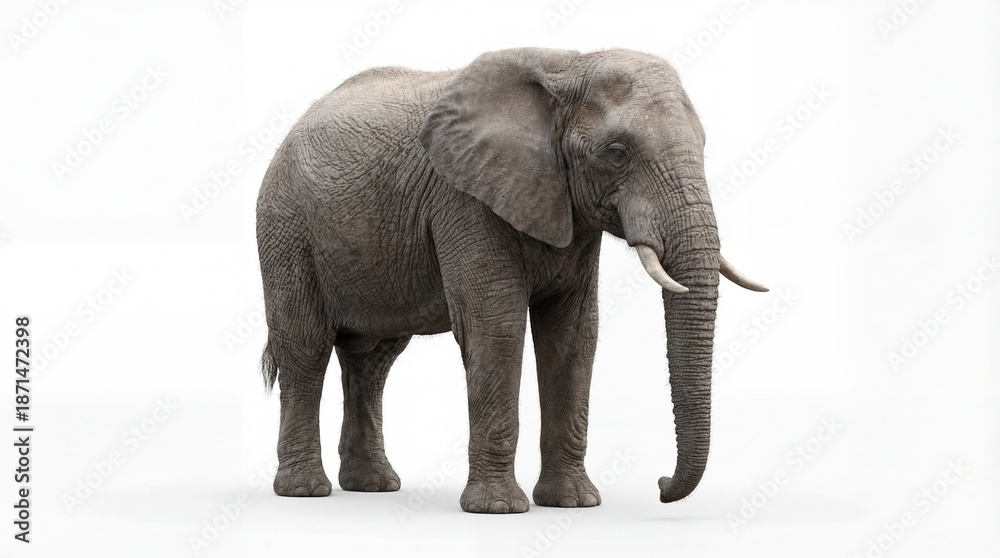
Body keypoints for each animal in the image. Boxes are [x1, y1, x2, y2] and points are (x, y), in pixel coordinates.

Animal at [255, 47, 767, 514]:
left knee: (372, 361)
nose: (660, 486)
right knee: (305, 347)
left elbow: (573, 334)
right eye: (617, 153)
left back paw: (373, 486)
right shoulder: (464, 199)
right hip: (286, 229)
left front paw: (573, 504)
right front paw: (498, 509)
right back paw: (305, 491)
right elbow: (496, 325)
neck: (569, 65)